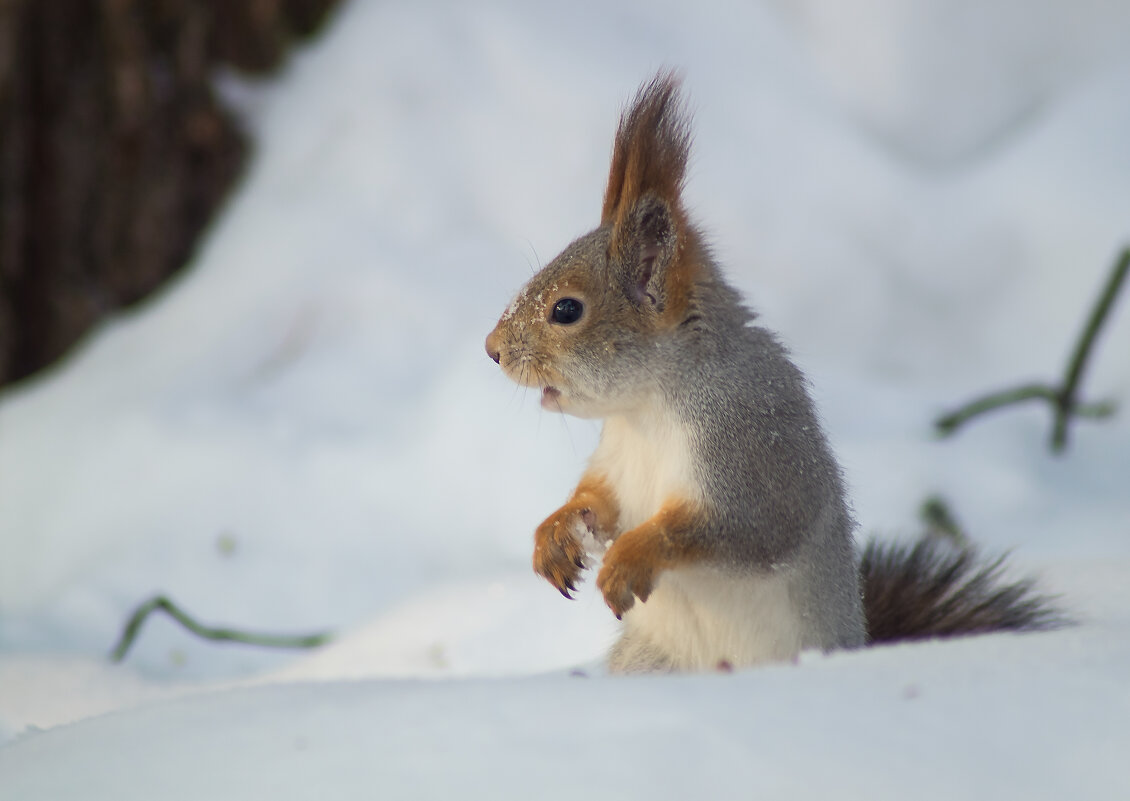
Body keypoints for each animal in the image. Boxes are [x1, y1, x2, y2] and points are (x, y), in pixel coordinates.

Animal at [483, 71, 1057, 673]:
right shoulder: (616, 461)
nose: (492, 349)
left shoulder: (751, 449)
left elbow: (733, 528)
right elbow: (598, 502)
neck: (648, 407)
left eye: (566, 310)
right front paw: (556, 533)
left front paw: (629, 557)